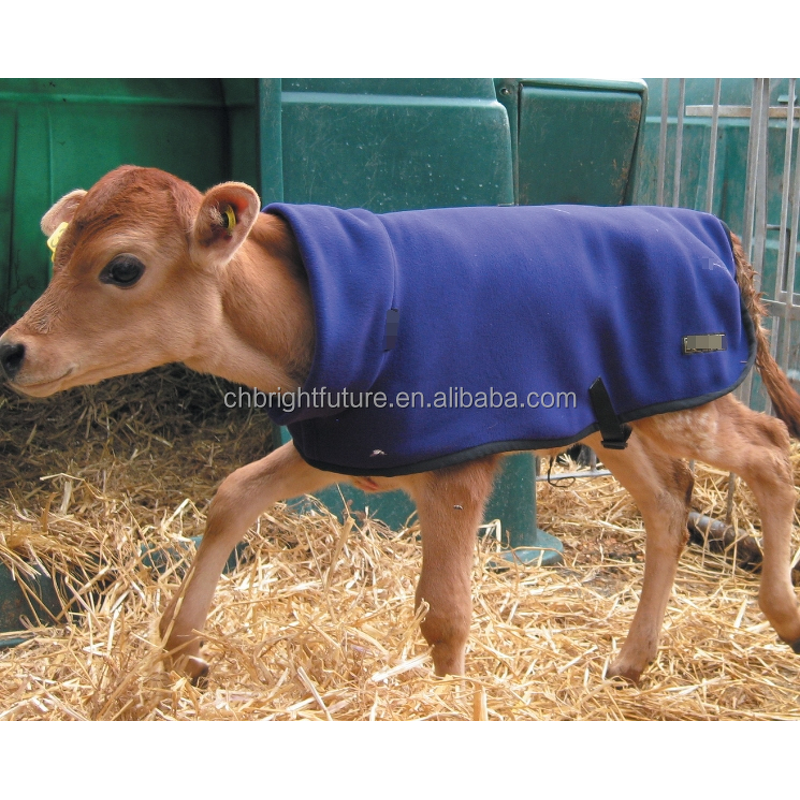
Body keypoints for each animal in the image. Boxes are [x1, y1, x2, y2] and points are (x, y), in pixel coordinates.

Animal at [1, 165, 799, 686]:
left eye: (123, 267)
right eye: (59, 252)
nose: (12, 348)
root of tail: (710, 226)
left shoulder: (455, 469)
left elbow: (444, 613)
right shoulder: (344, 440)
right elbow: (232, 495)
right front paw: (183, 650)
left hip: (687, 403)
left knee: (769, 450)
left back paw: (781, 613)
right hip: (619, 414)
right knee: (669, 504)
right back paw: (632, 661)